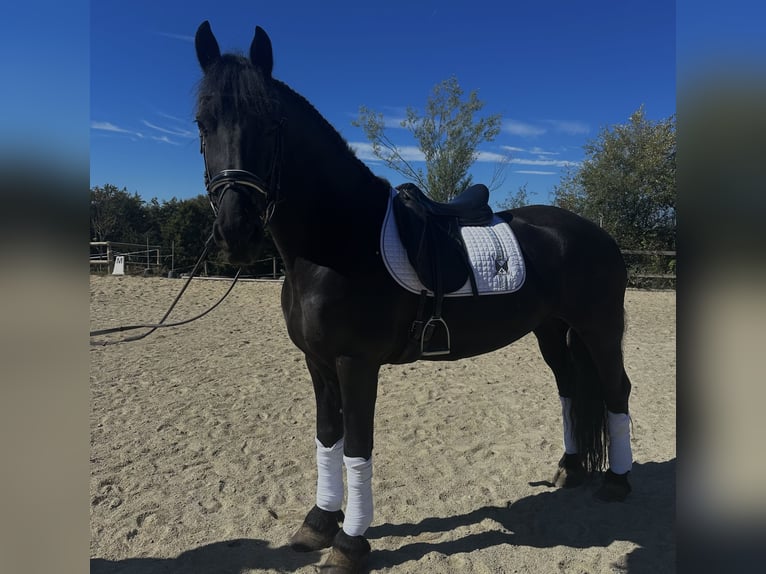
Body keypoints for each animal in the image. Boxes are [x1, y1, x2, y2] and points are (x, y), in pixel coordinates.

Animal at [193, 21, 633, 573]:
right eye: (202, 123)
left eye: (271, 123)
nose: (236, 233)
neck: (339, 240)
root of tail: (594, 233)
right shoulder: (317, 362)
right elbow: (327, 439)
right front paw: (318, 524)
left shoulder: (355, 362)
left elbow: (357, 447)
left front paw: (350, 545)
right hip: (551, 329)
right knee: (571, 389)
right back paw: (569, 470)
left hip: (600, 327)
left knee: (616, 390)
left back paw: (617, 483)